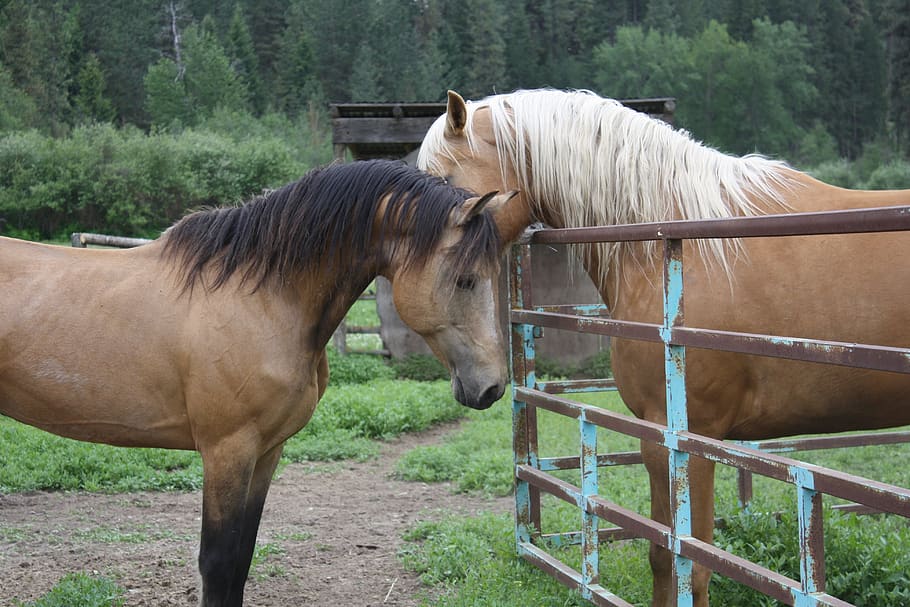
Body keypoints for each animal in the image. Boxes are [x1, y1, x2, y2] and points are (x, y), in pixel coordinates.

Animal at [0, 159, 527, 607]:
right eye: (464, 279)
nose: (491, 387)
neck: (262, 296)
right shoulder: (227, 451)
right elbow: (218, 563)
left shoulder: (267, 451)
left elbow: (242, 558)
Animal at [418, 89, 910, 606]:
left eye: (447, 185)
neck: (674, 243)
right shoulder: (664, 439)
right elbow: (661, 554)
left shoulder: (688, 441)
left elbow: (691, 560)